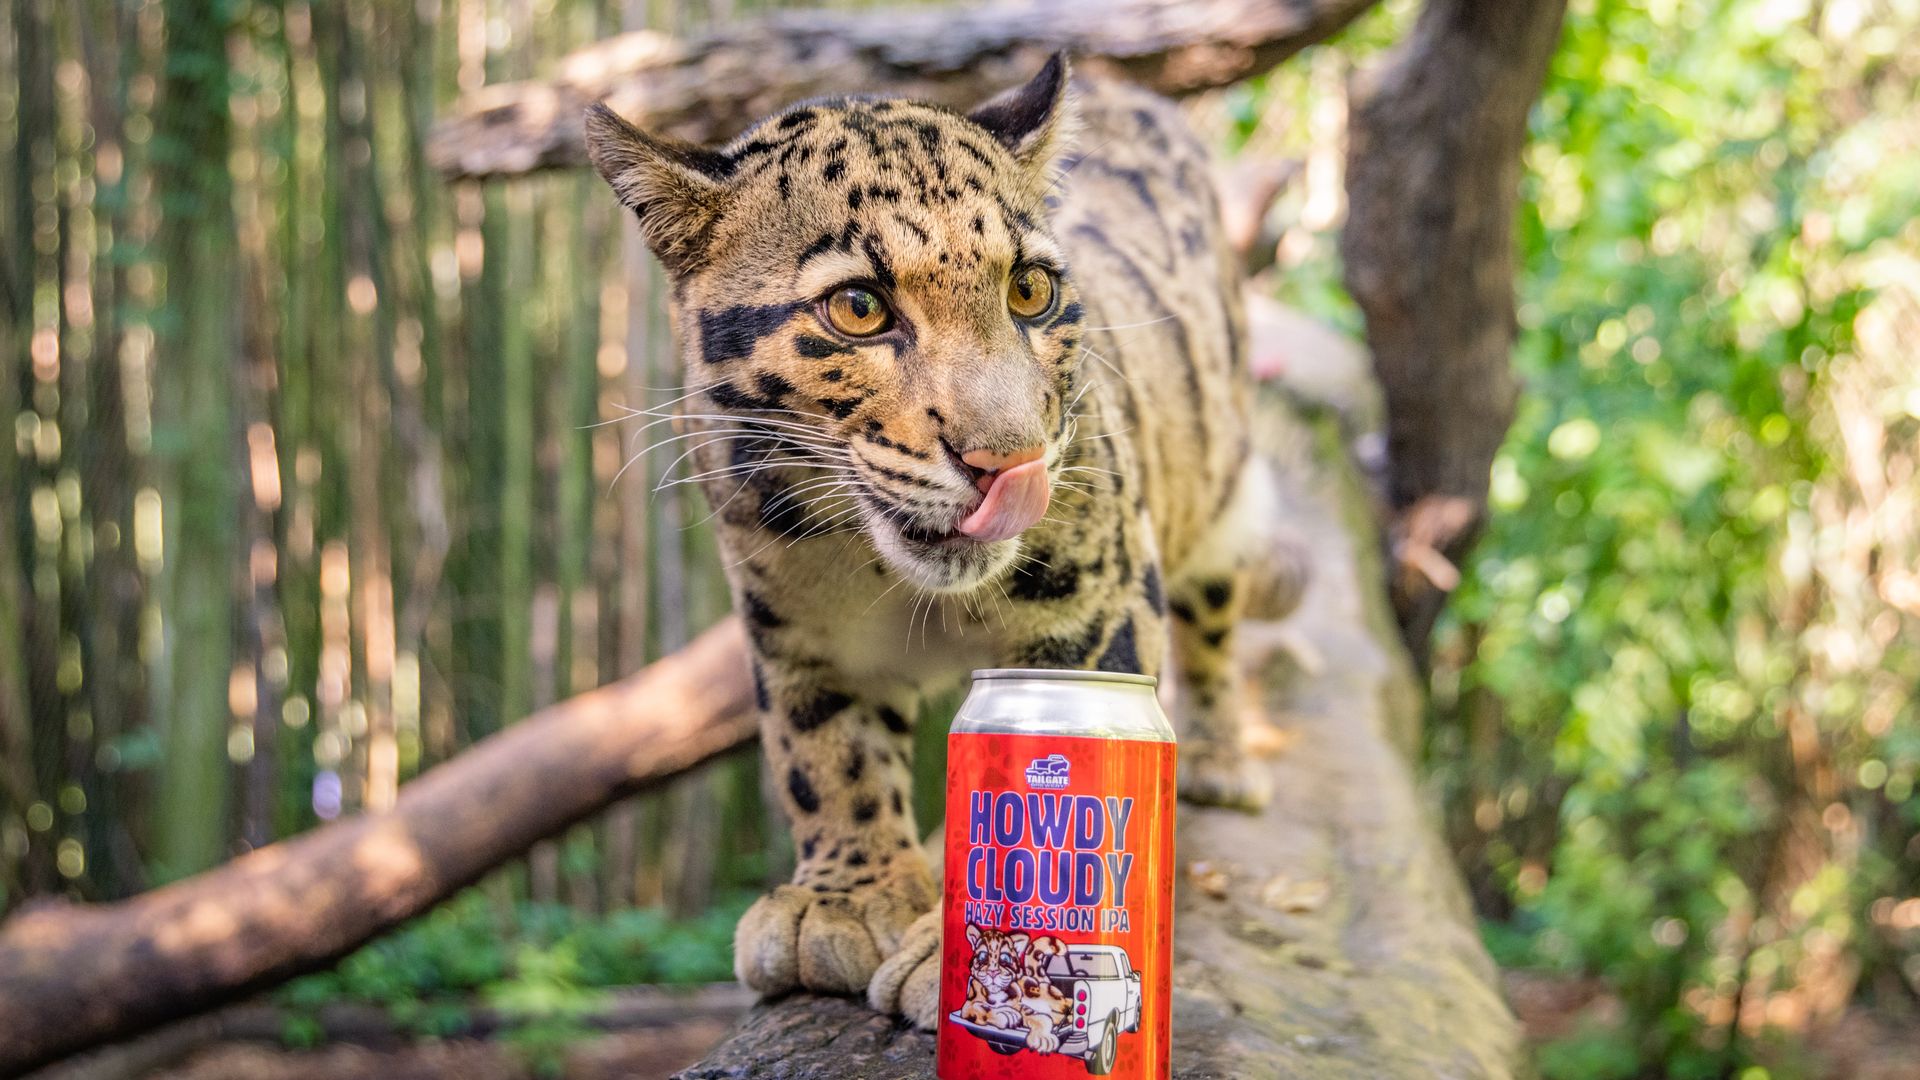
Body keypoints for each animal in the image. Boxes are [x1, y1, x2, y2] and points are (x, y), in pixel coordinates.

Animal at [584, 52, 1282, 1028]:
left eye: (1030, 291)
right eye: (857, 308)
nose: (1010, 459)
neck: (889, 574)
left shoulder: (1100, 614)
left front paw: (970, 945)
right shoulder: (792, 630)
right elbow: (821, 752)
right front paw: (844, 896)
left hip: (1226, 499)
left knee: (1215, 621)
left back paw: (1219, 756)